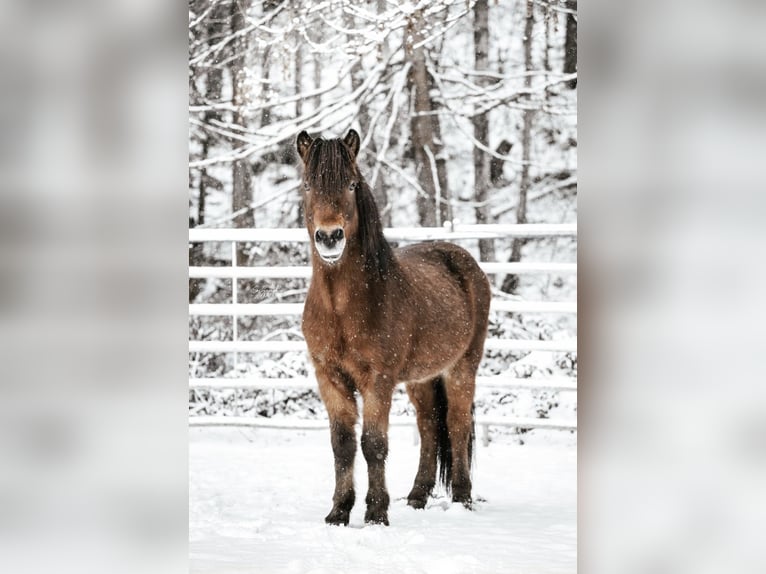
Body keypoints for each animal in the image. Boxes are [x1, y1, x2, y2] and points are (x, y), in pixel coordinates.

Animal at [297, 129, 491, 526]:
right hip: (421, 379)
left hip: (462, 367)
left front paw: (375, 513)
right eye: (308, 185)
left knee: (457, 425)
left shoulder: (379, 379)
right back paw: (417, 496)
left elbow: (373, 444)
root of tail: (464, 261)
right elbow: (342, 444)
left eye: (352, 184)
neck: (342, 308)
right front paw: (339, 511)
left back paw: (462, 498)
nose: (329, 237)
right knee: (430, 426)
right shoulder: (329, 376)